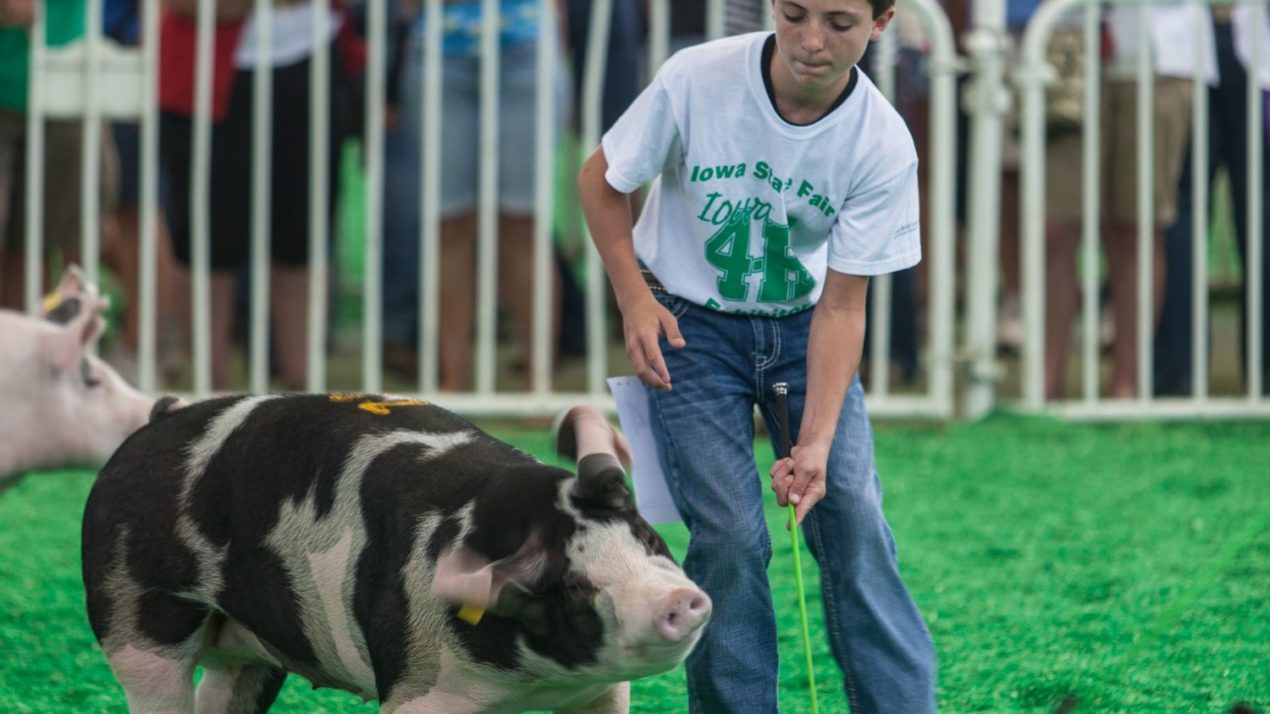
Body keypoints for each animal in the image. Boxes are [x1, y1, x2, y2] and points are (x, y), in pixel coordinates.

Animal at [83, 391, 711, 706]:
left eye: (646, 538)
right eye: (576, 584)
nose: (679, 598)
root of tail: (156, 421)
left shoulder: (598, 696)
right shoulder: (422, 681)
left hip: (253, 650)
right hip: (135, 610)